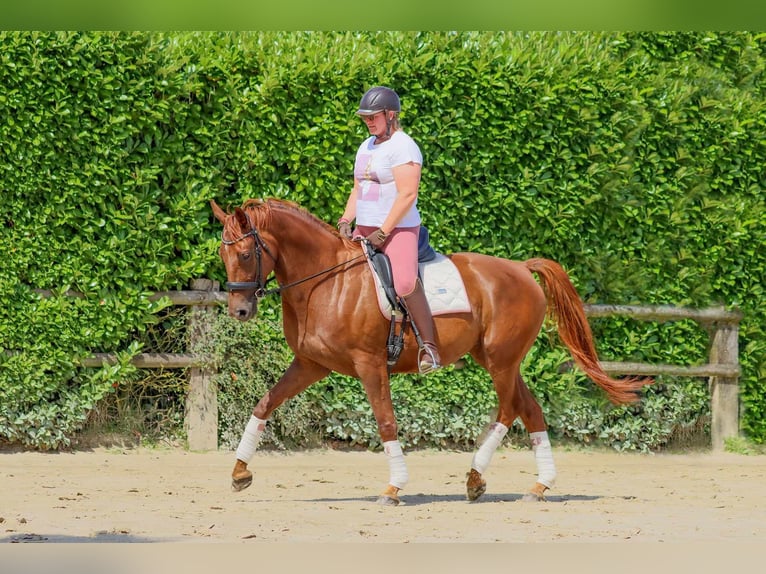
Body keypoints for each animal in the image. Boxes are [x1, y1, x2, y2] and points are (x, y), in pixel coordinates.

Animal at [212, 200, 656, 506]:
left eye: (247, 254)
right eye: (222, 254)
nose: (239, 311)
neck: (327, 281)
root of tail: (520, 267)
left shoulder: (370, 364)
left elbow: (386, 422)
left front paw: (393, 488)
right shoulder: (312, 364)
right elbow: (264, 404)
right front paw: (238, 472)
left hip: (500, 360)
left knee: (509, 408)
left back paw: (478, 477)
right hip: (499, 360)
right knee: (530, 409)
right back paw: (537, 485)